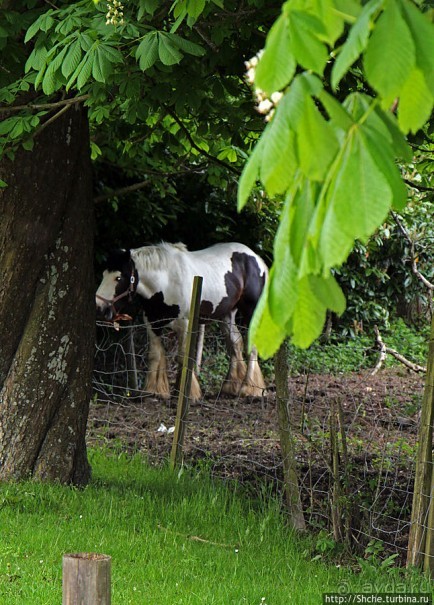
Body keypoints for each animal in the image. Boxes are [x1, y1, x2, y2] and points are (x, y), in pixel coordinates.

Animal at [96, 241, 268, 402]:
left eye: (118, 277)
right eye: (103, 274)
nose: (99, 308)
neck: (166, 282)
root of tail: (256, 258)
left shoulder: (185, 324)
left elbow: (183, 357)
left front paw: (187, 394)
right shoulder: (152, 323)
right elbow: (155, 355)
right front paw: (153, 392)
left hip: (252, 311)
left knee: (252, 345)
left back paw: (249, 389)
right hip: (226, 314)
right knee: (235, 343)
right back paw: (230, 387)